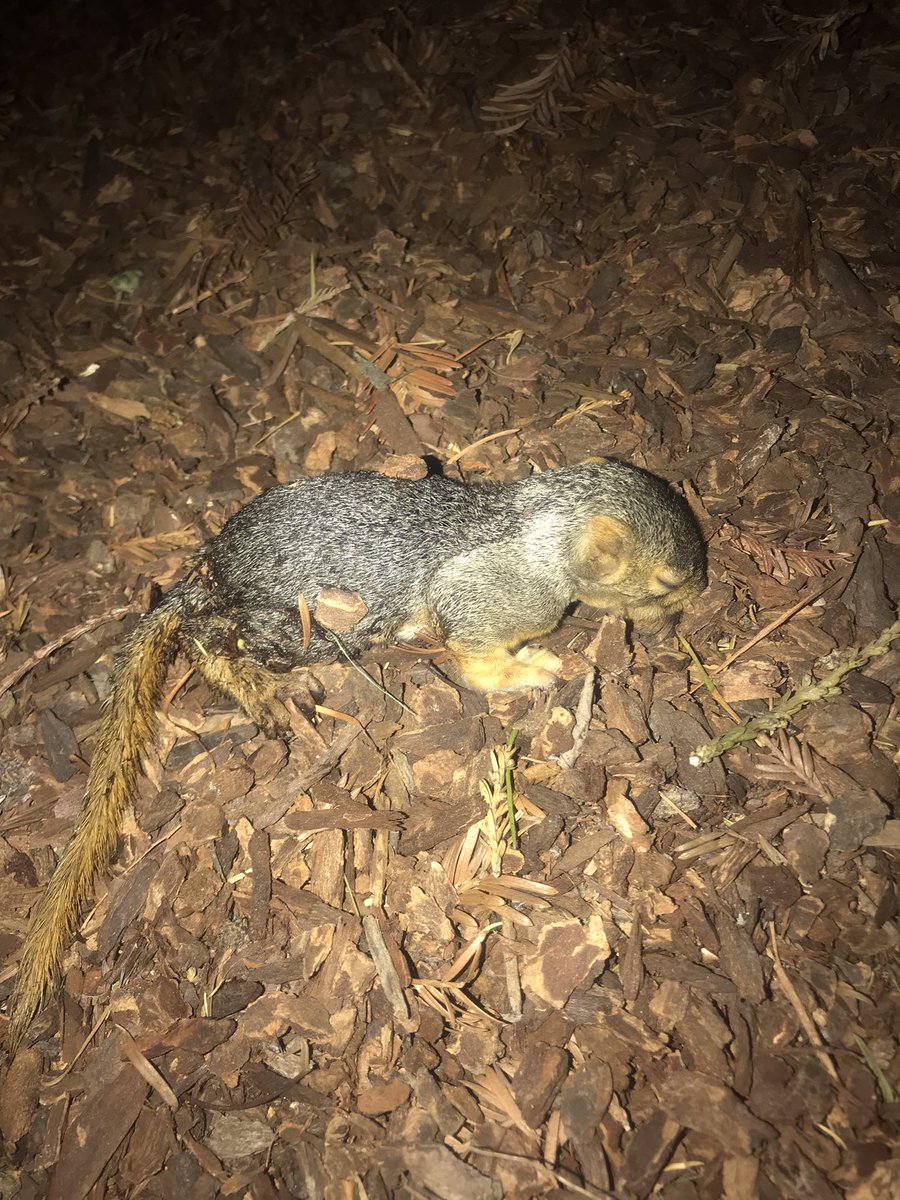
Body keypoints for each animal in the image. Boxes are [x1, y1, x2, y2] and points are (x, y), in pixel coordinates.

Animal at [5, 459, 707, 1049]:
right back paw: (265, 692)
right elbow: (476, 660)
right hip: (294, 628)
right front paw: (534, 667)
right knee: (210, 641)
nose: (701, 596)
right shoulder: (487, 601)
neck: (535, 527)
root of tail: (209, 574)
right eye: (665, 580)